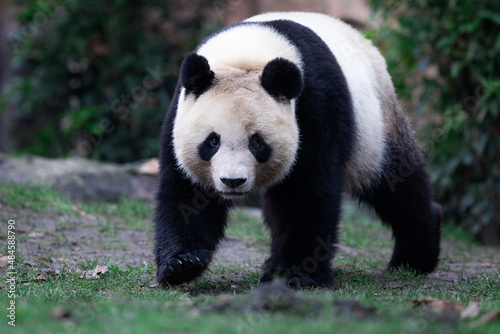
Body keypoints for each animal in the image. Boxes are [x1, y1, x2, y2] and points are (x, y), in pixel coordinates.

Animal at [153, 11, 442, 288]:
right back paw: (274, 264)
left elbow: (310, 192)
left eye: (256, 142)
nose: (232, 181)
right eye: (212, 141)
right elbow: (186, 193)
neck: (247, 55)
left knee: (395, 184)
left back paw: (415, 257)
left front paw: (301, 275)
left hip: (376, 125)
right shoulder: (179, 112)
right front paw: (182, 264)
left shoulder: (315, 105)